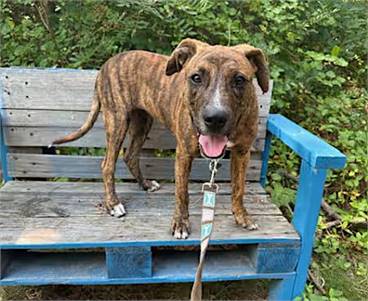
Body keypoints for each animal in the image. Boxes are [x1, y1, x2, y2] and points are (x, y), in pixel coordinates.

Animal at [51, 38, 268, 238]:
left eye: (239, 80)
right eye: (196, 77)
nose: (215, 119)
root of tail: (106, 65)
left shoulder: (242, 153)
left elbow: (239, 188)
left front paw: (242, 216)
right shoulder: (184, 153)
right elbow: (182, 193)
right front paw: (180, 224)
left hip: (142, 122)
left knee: (130, 156)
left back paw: (145, 184)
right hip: (117, 121)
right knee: (107, 165)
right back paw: (113, 204)